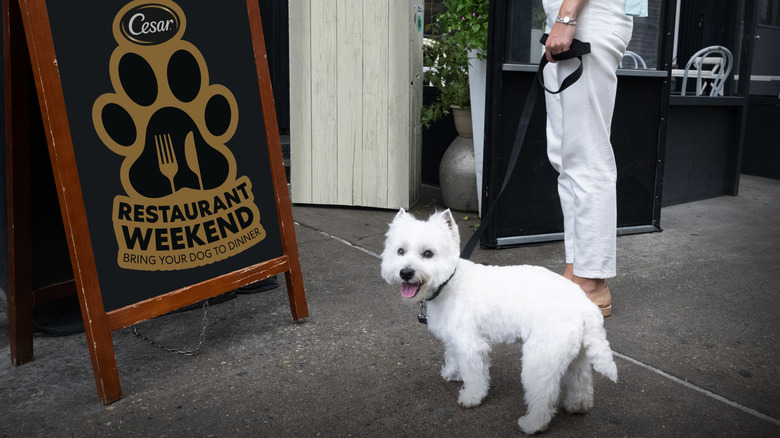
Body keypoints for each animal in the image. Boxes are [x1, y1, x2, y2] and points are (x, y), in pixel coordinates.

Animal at [380, 210, 620, 434]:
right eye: (400, 251)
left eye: (428, 253)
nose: (406, 272)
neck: (449, 282)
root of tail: (583, 304)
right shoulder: (455, 339)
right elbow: (453, 357)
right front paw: (452, 373)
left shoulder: (471, 345)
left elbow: (474, 375)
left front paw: (472, 396)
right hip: (577, 356)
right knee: (581, 382)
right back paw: (577, 406)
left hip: (539, 359)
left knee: (544, 397)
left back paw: (533, 424)